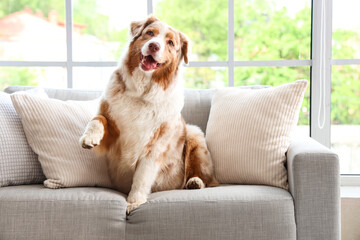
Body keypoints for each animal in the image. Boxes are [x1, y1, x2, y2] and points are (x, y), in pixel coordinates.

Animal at [80, 15, 218, 213]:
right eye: (150, 33)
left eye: (170, 42)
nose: (154, 46)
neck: (141, 92)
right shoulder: (111, 131)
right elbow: (97, 119)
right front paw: (89, 137)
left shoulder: (155, 146)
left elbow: (141, 177)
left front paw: (134, 202)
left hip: (194, 133)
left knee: (209, 178)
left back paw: (195, 182)